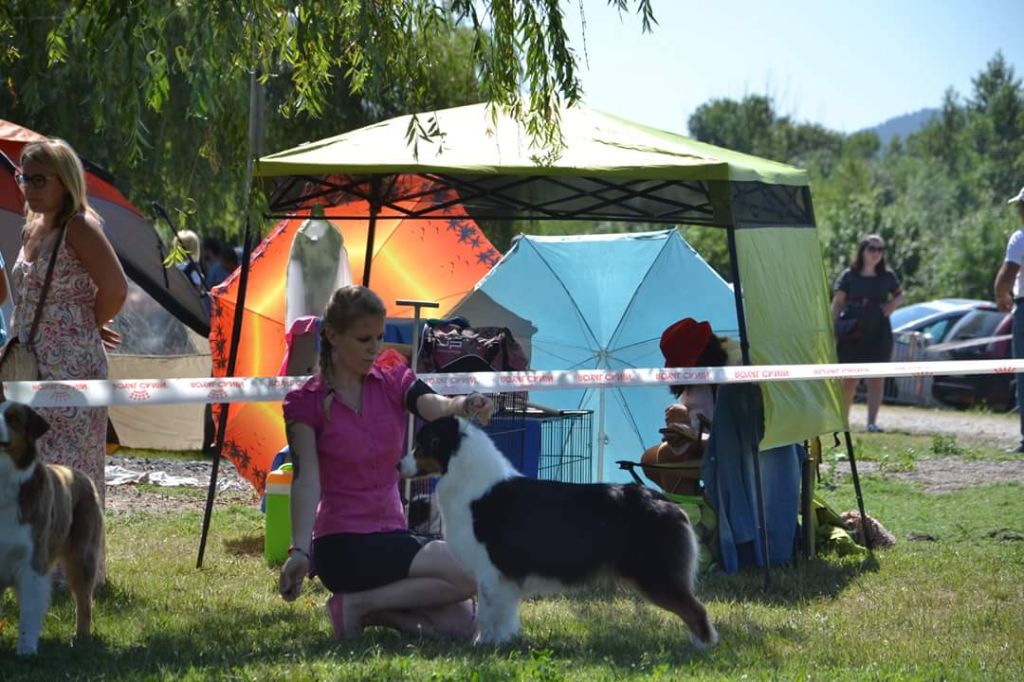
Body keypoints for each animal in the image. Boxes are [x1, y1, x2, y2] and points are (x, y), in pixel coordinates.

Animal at [0, 399, 102, 655]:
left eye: (13, 418)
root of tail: (80, 473)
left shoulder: (33, 561)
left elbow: (29, 611)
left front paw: (26, 651)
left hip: (82, 556)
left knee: (84, 600)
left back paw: (81, 638)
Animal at [397, 413, 712, 647]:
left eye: (421, 445)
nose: (398, 464)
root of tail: (664, 500)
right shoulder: (502, 576)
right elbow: (503, 612)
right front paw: (503, 641)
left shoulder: (490, 570)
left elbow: (487, 612)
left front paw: (483, 644)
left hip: (656, 575)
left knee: (696, 609)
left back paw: (702, 648)